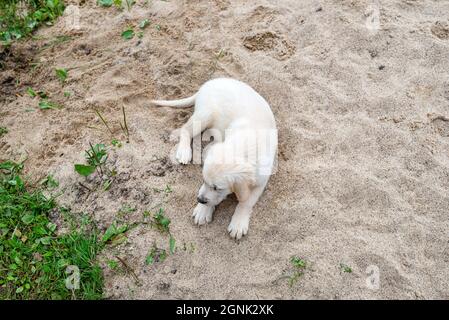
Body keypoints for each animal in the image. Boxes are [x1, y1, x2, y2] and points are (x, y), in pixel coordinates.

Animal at [151, 77, 276, 239]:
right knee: (186, 129)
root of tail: (211, 82)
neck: (244, 145)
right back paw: (184, 151)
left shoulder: (261, 181)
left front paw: (238, 222)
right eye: (203, 180)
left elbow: (246, 201)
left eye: (217, 188)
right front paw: (203, 210)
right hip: (206, 113)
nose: (199, 200)